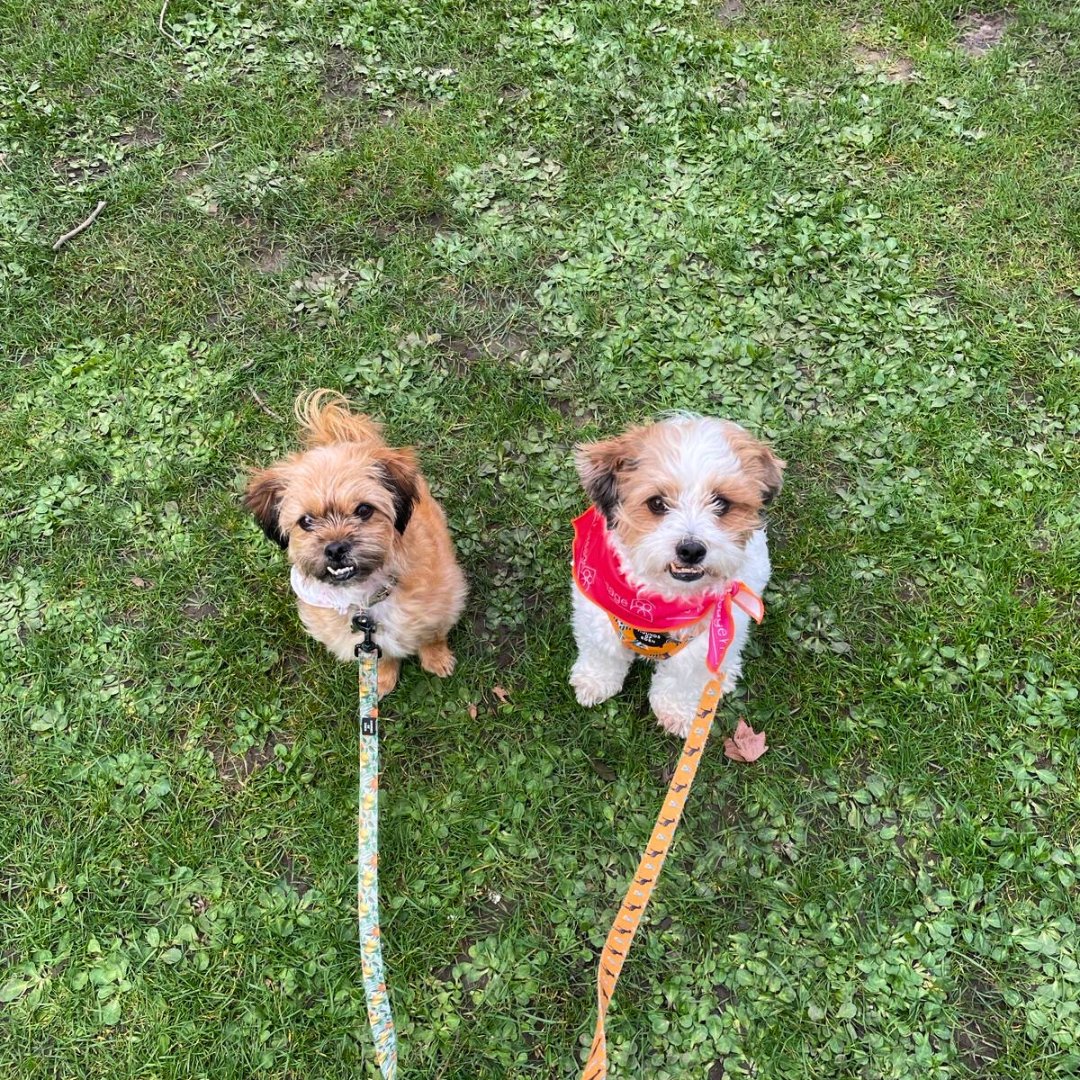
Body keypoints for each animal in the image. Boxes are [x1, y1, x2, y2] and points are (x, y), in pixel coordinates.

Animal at [247, 393, 466, 695]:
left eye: (363, 510)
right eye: (306, 521)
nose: (335, 548)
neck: (365, 599)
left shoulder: (443, 601)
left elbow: (431, 635)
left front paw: (437, 659)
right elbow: (380, 653)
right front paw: (380, 679)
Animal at [565, 410, 786, 734]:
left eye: (721, 503)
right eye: (657, 503)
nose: (691, 550)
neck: (660, 601)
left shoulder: (705, 642)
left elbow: (683, 678)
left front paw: (677, 712)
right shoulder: (596, 612)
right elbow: (602, 652)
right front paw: (595, 681)